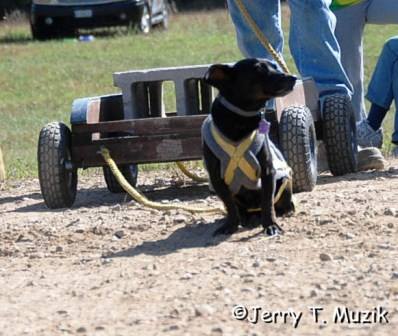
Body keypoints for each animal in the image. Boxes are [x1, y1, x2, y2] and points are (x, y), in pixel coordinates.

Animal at [204, 57, 296, 236]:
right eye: (259, 69)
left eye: (274, 66)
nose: (293, 77)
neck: (239, 120)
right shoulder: (216, 178)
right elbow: (229, 205)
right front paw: (230, 225)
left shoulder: (268, 172)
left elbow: (267, 202)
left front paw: (271, 225)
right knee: (240, 208)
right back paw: (245, 218)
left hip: (285, 181)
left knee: (282, 202)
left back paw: (285, 211)